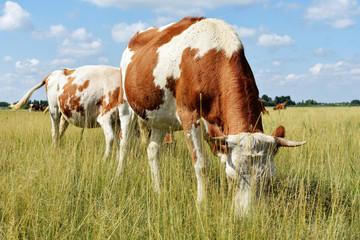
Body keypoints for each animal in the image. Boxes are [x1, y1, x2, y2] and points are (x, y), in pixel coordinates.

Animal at [117, 16, 306, 216]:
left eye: (268, 180)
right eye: (233, 178)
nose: (247, 216)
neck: (214, 54)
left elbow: (223, 159)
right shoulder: (190, 116)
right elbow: (202, 165)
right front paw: (202, 203)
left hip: (159, 116)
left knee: (153, 151)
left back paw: (158, 189)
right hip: (125, 106)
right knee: (124, 143)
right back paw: (120, 175)